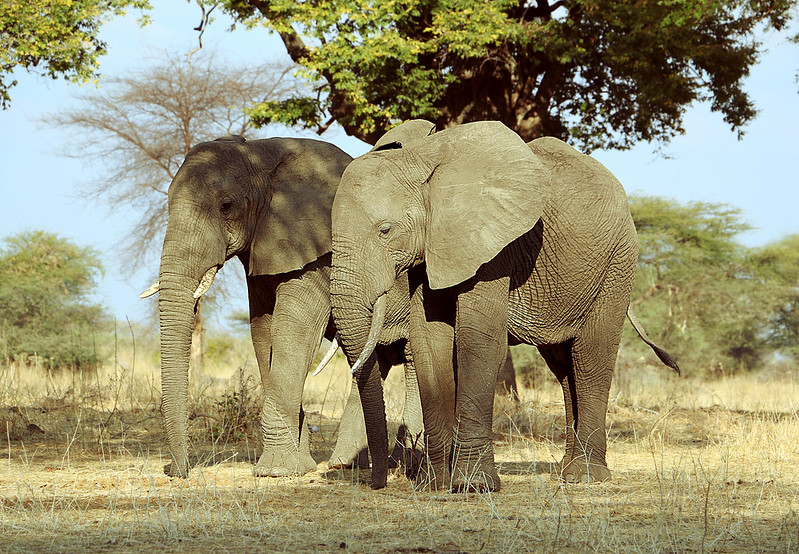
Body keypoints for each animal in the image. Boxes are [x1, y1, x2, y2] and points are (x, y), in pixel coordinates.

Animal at [142, 135, 424, 478]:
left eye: (226, 205)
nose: (177, 471)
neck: (260, 155)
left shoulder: (321, 249)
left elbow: (293, 329)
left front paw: (275, 471)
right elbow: (263, 332)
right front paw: (299, 466)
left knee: (412, 358)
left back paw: (406, 464)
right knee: (372, 361)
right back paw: (347, 464)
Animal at [328, 118, 680, 490]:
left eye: (385, 230)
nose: (375, 481)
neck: (425, 160)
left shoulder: (493, 248)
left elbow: (478, 344)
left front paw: (473, 486)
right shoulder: (433, 248)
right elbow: (430, 342)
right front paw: (433, 485)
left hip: (617, 262)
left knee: (590, 358)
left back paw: (585, 476)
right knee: (563, 365)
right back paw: (564, 471)